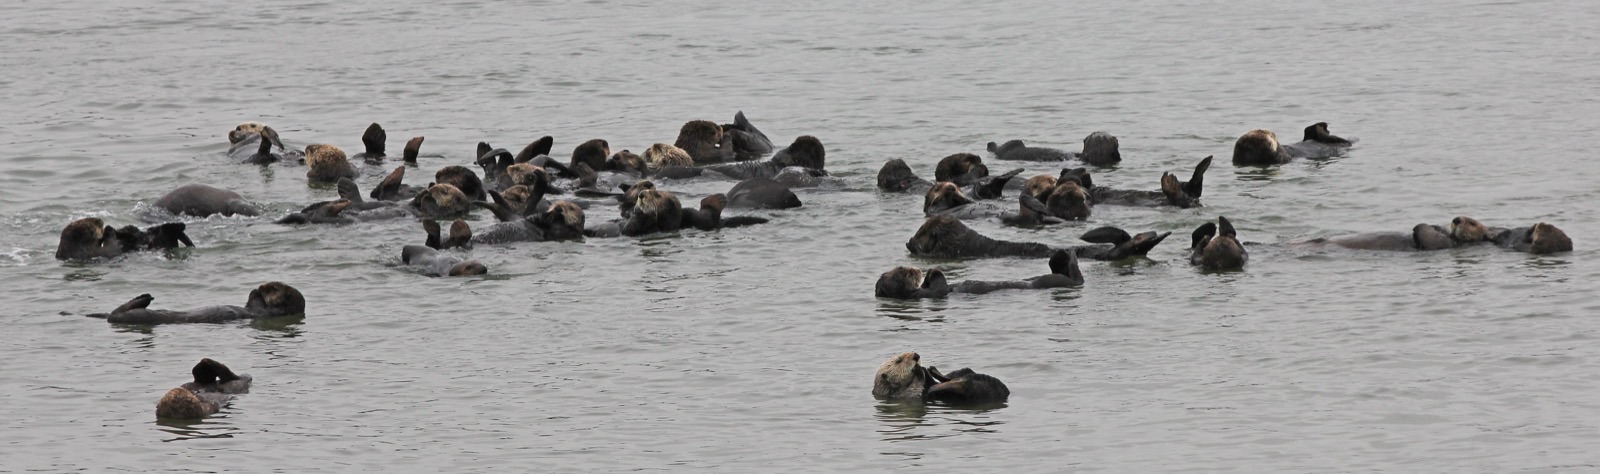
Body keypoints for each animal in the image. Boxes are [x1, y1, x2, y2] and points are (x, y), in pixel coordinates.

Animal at [55, 218, 193, 261]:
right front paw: (109, 230)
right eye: (93, 223)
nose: (101, 220)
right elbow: (112, 247)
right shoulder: (95, 252)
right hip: (163, 241)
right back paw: (177, 226)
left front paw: (120, 230)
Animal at [872, 352, 1010, 404]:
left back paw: (932, 371)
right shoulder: (904, 395)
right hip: (971, 391)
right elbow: (917, 390)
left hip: (965, 373)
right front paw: (918, 371)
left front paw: (921, 368)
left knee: (956, 375)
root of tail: (1005, 392)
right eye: (899, 361)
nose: (916, 355)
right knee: (961, 385)